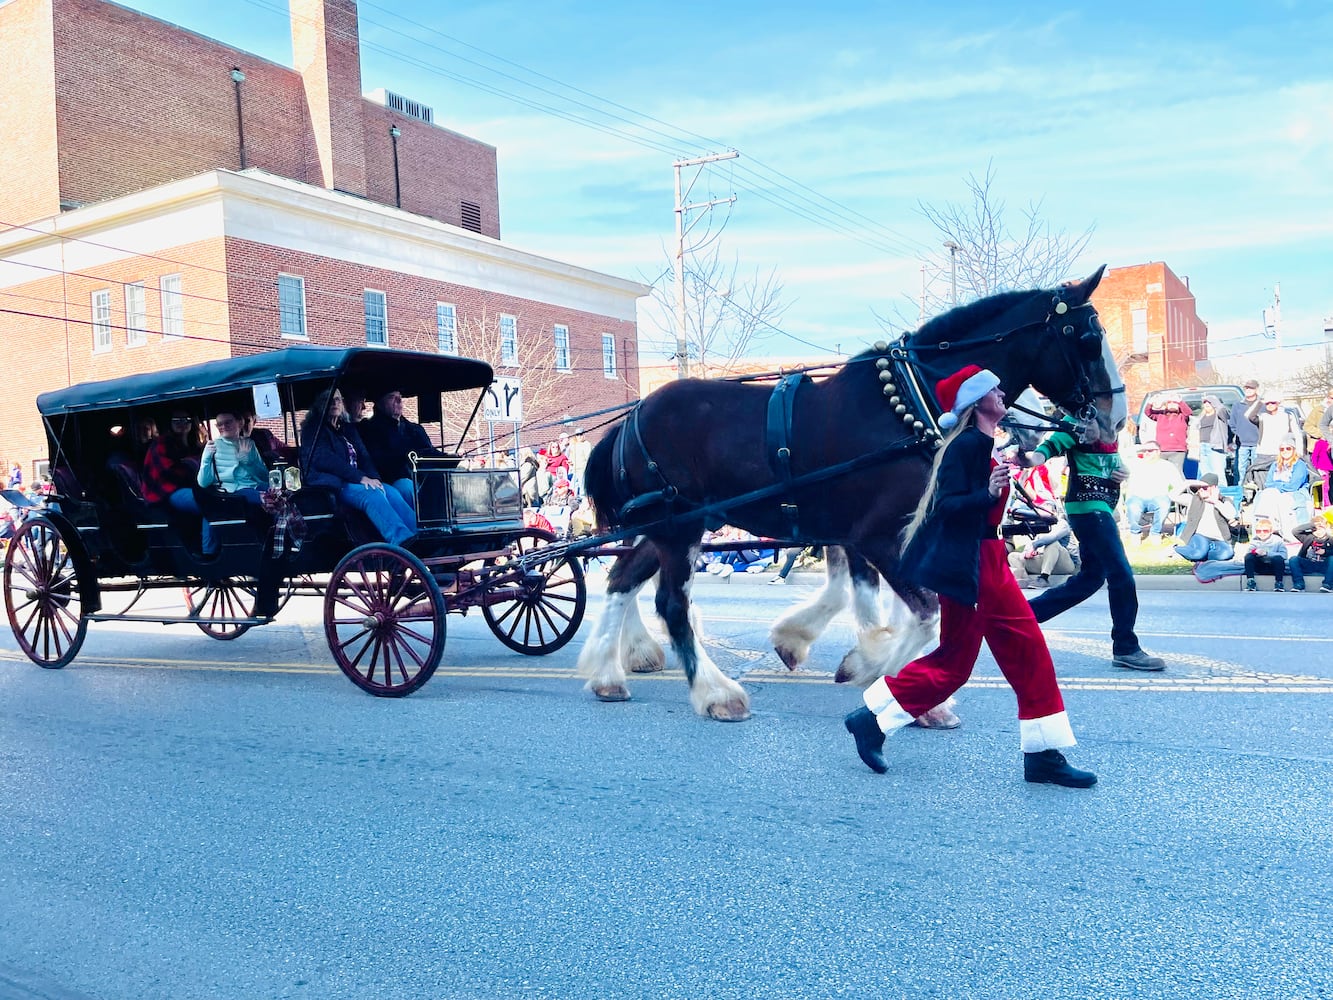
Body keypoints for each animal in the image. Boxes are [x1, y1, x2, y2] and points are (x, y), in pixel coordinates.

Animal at [581, 268, 1125, 720]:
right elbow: (924, 614)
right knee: (671, 603)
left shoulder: (862, 532)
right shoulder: (877, 534)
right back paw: (716, 693)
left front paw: (845, 657)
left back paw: (608, 673)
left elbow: (872, 596)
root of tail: (631, 417)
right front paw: (880, 673)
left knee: (621, 579)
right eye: (1088, 339)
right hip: (679, 526)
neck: (912, 401)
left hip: (666, 526)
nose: (1114, 418)